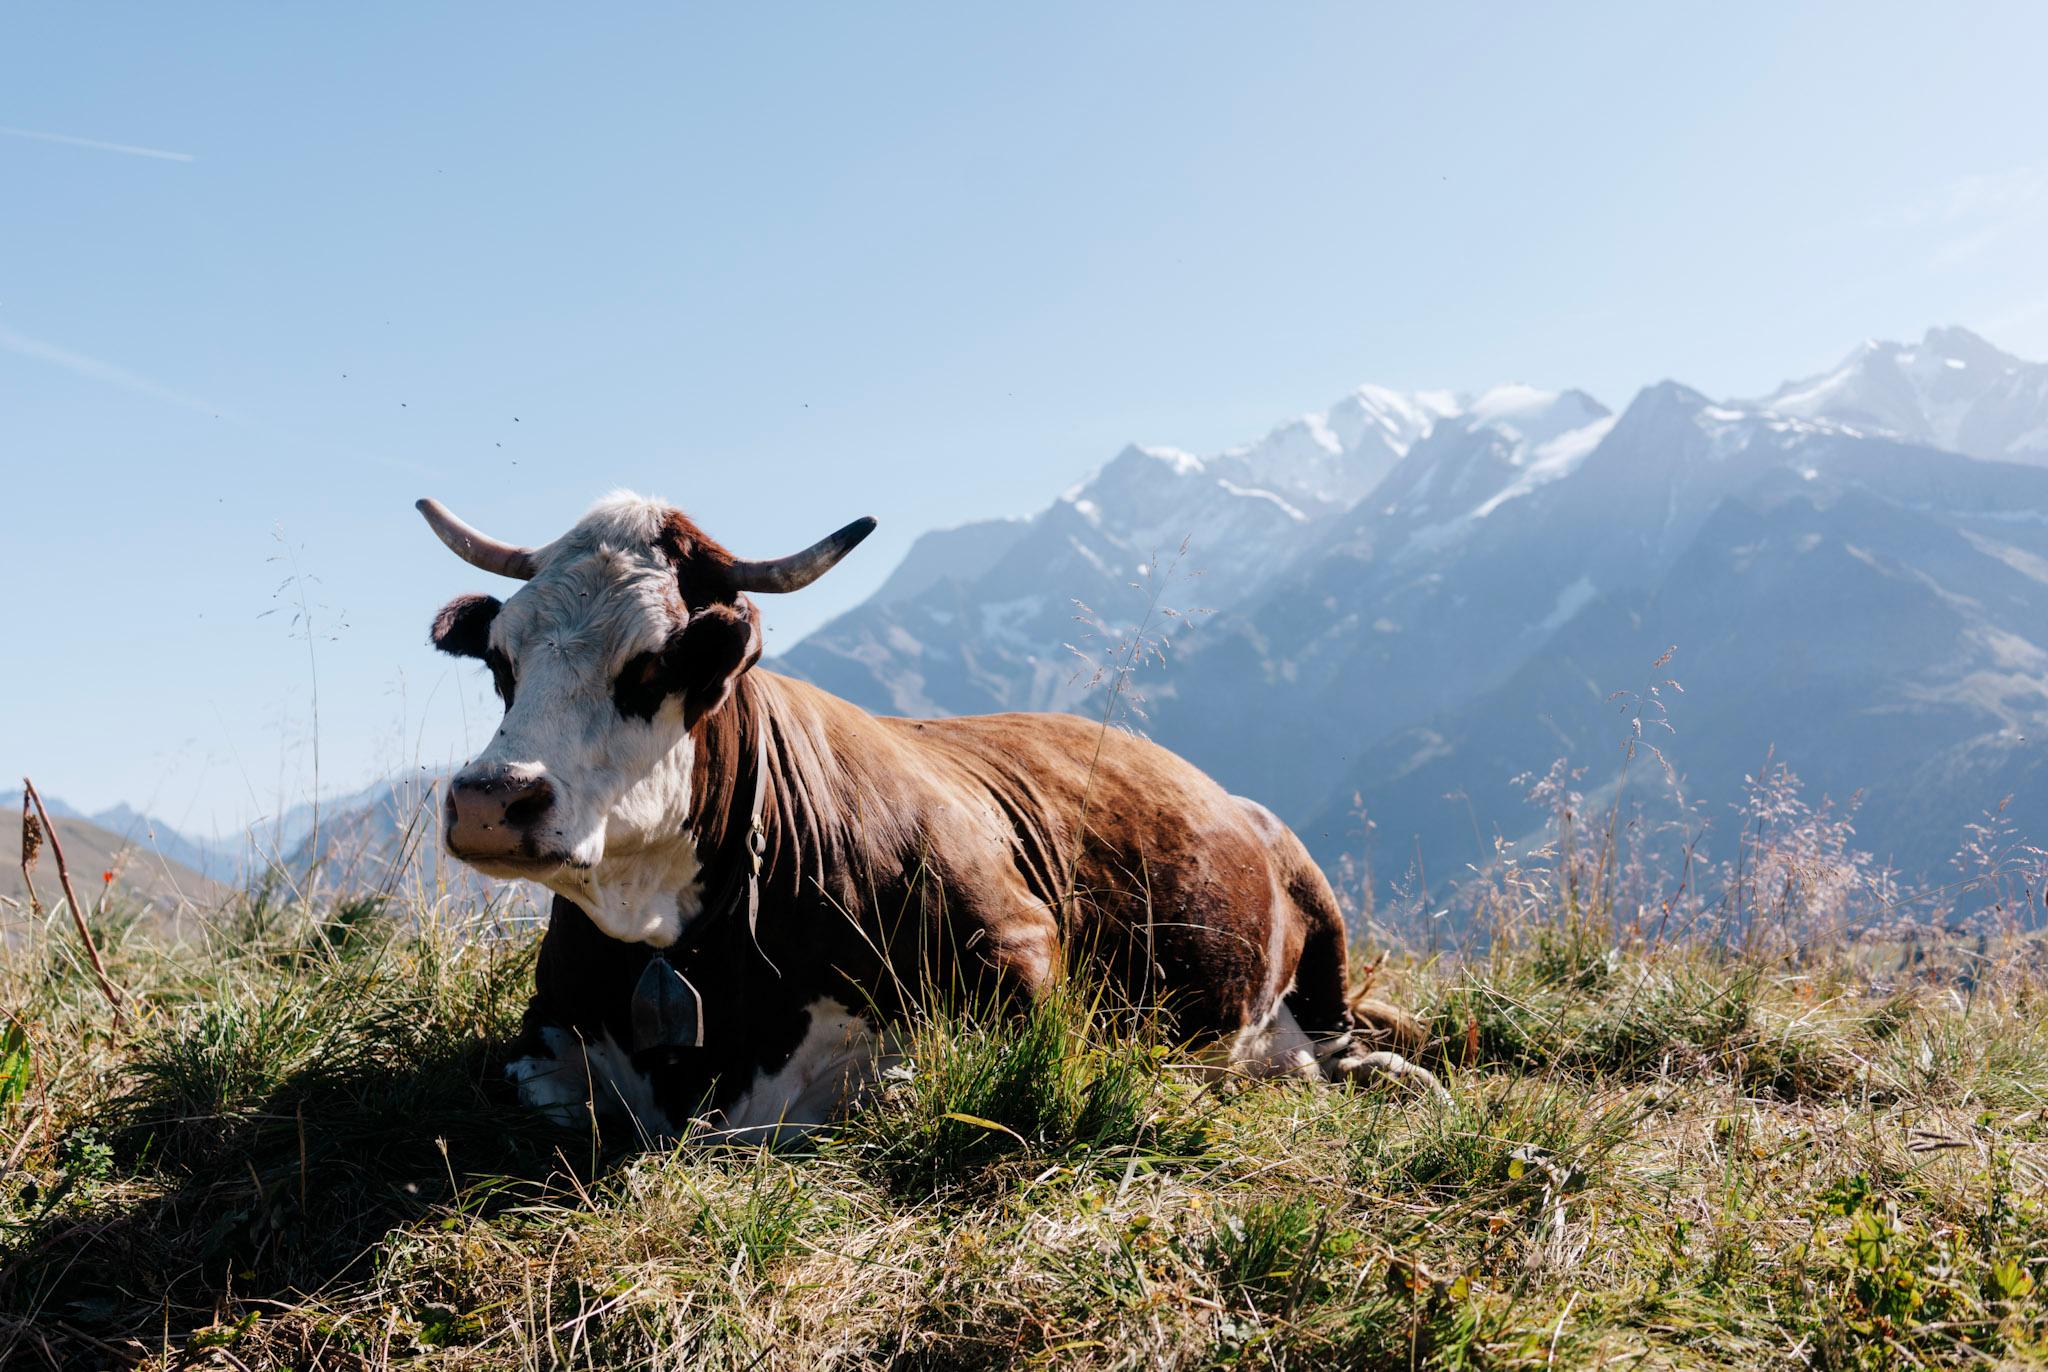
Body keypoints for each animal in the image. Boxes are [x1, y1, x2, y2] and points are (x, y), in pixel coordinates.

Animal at [421, 489, 1433, 1146]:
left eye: (662, 664)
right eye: (502, 662)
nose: (491, 799)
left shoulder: (1026, 966)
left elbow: (895, 1096)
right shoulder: (542, 1041)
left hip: (1321, 929)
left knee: (1341, 1049)